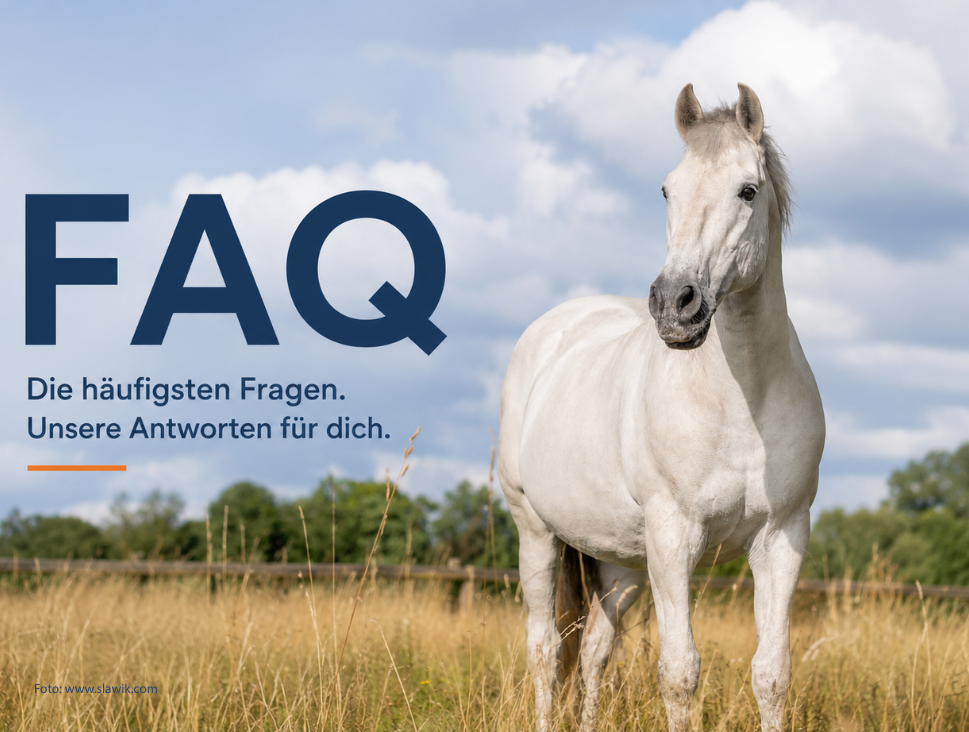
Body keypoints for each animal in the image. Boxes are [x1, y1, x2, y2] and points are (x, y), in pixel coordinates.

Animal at [498, 83, 824, 732]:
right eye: (667, 189)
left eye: (747, 190)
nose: (676, 304)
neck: (741, 402)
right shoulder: (674, 537)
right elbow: (679, 673)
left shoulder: (781, 539)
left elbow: (772, 675)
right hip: (536, 533)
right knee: (545, 650)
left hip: (621, 558)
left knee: (594, 650)